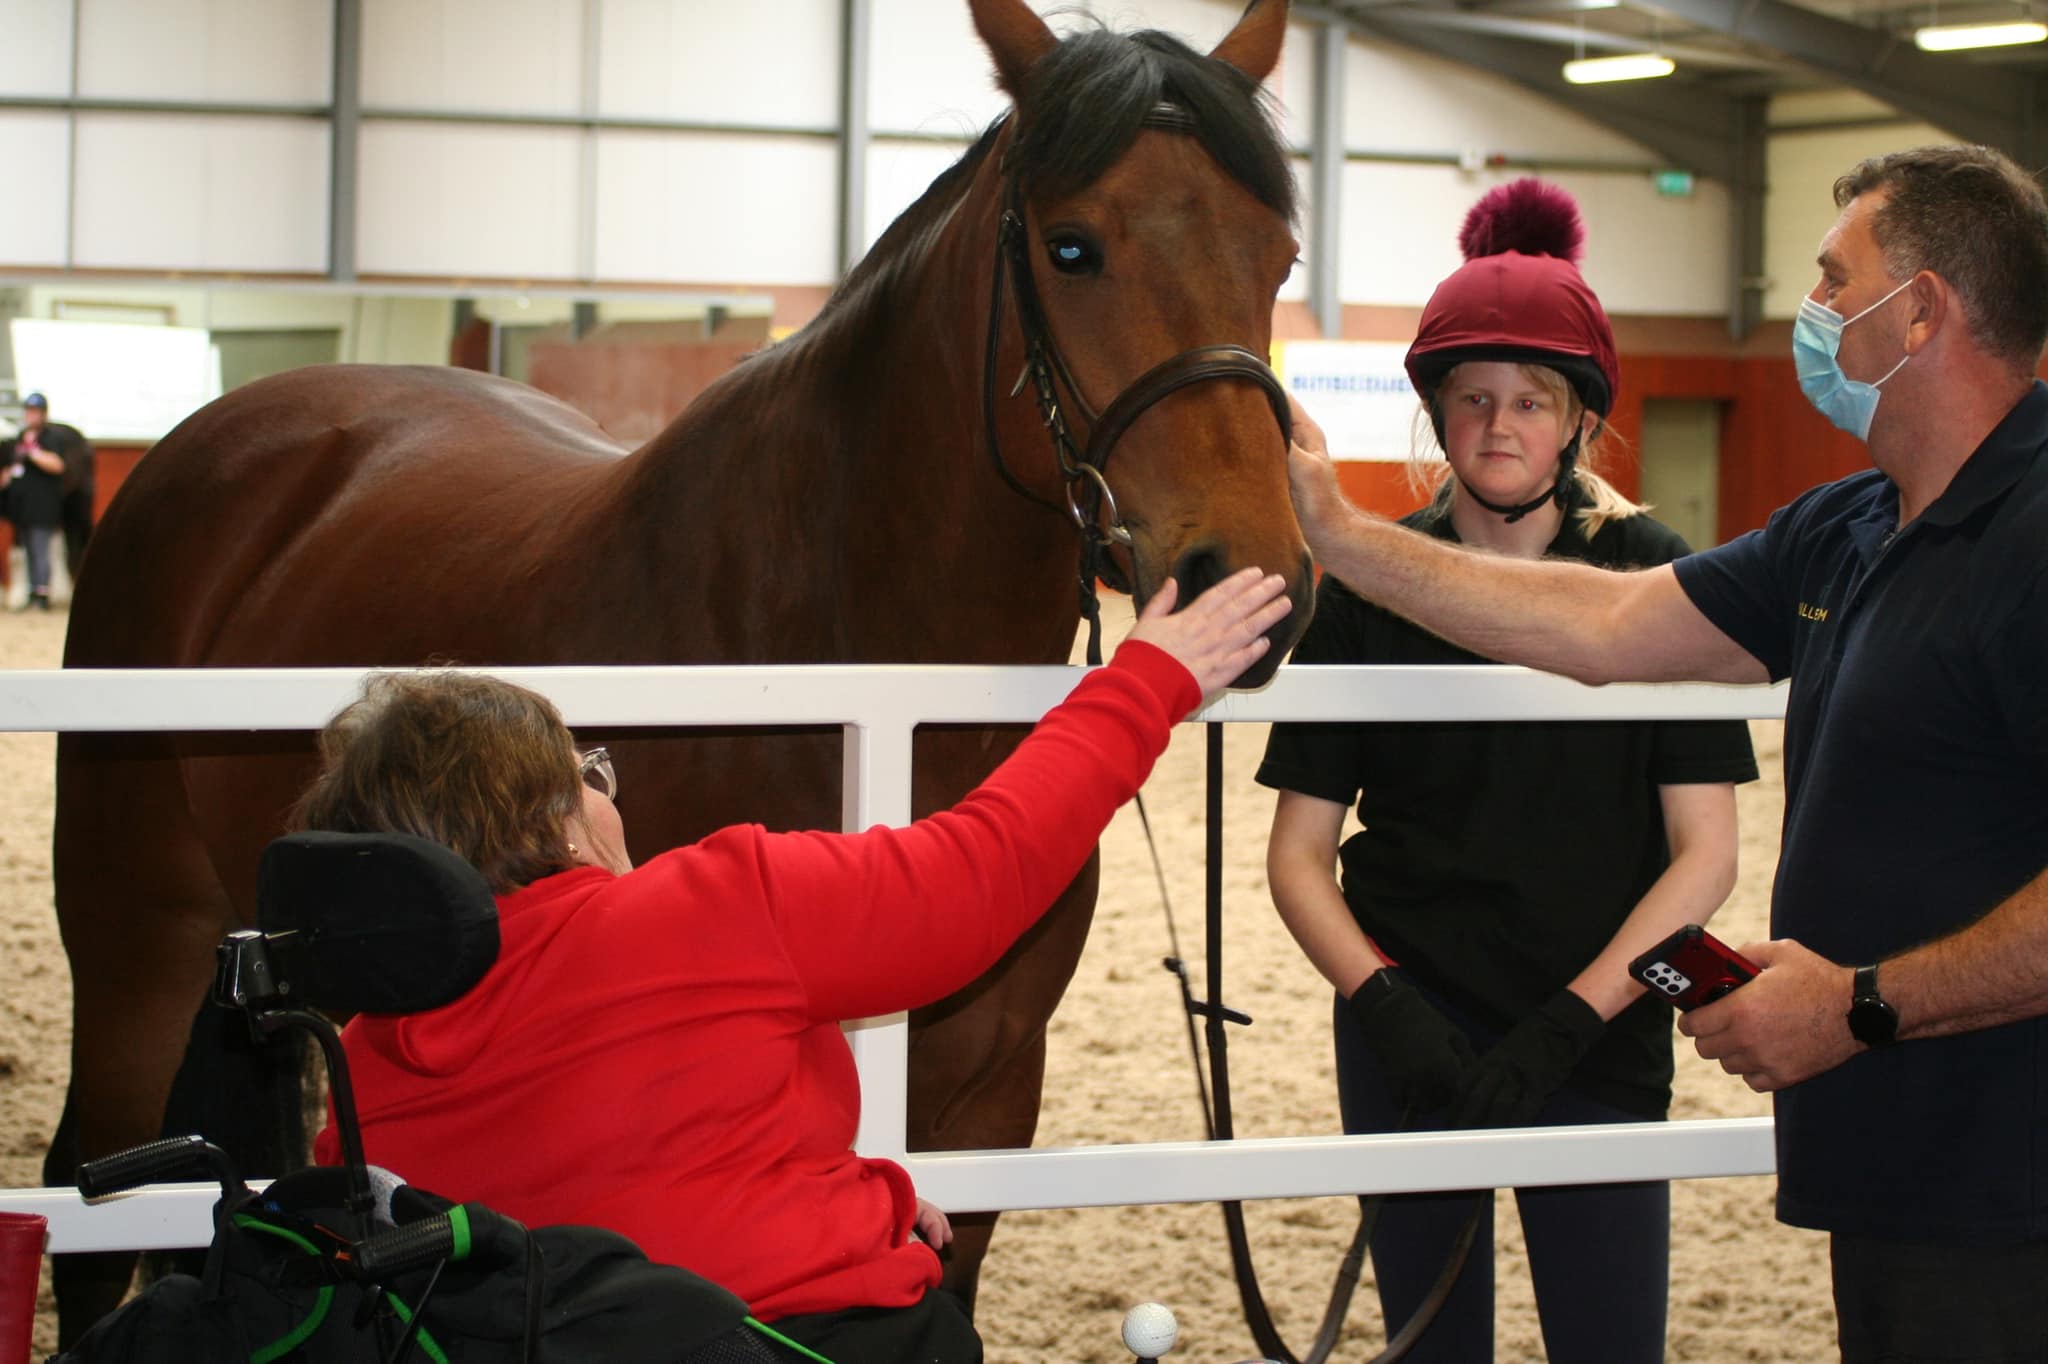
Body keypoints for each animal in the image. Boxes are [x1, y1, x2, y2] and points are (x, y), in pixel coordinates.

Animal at [44, 0, 1310, 1335]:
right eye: (1072, 248)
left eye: (1277, 254)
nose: (1252, 575)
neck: (841, 658)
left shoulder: (985, 1099)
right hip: (137, 941)